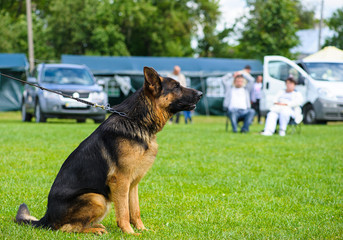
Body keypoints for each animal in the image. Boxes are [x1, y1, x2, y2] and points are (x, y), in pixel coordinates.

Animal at [16, 66, 203, 234]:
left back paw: (97, 226)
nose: (201, 94)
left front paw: (142, 230)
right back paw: (93, 230)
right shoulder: (120, 181)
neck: (137, 120)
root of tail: (46, 217)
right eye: (176, 86)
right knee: (66, 228)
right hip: (97, 198)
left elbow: (135, 210)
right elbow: (124, 212)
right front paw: (129, 233)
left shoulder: (133, 183)